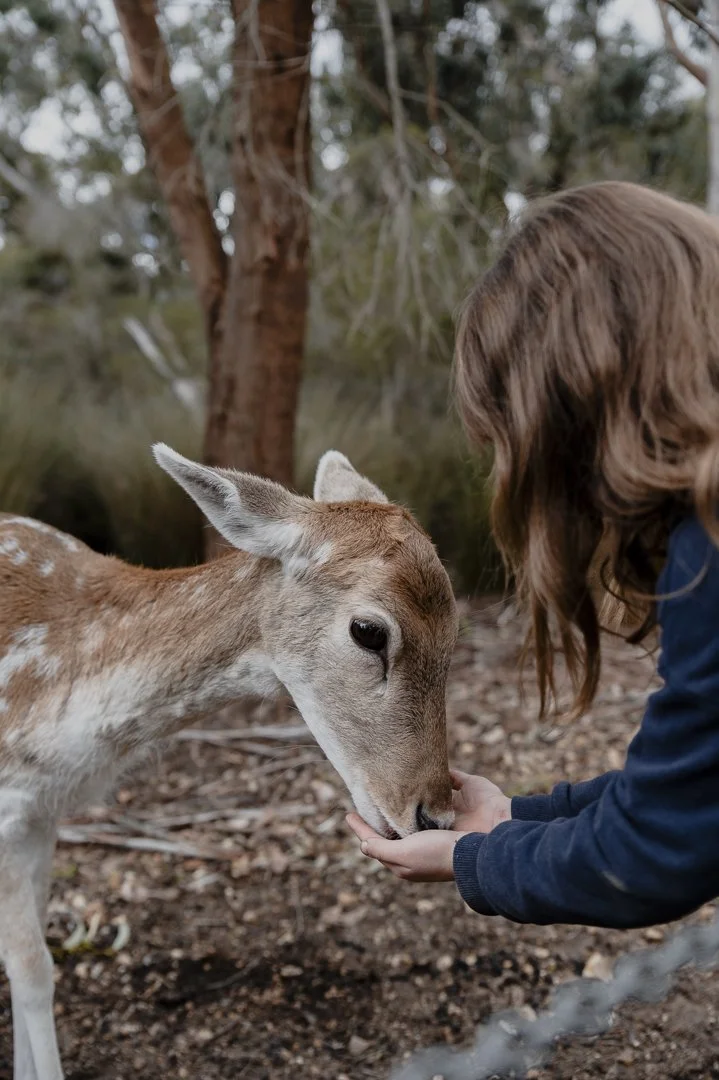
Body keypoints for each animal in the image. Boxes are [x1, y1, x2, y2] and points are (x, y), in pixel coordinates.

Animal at [0, 444, 458, 1080]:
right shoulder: (10, 812)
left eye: (455, 632)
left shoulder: (41, 814)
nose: (433, 816)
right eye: (368, 630)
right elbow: (32, 968)